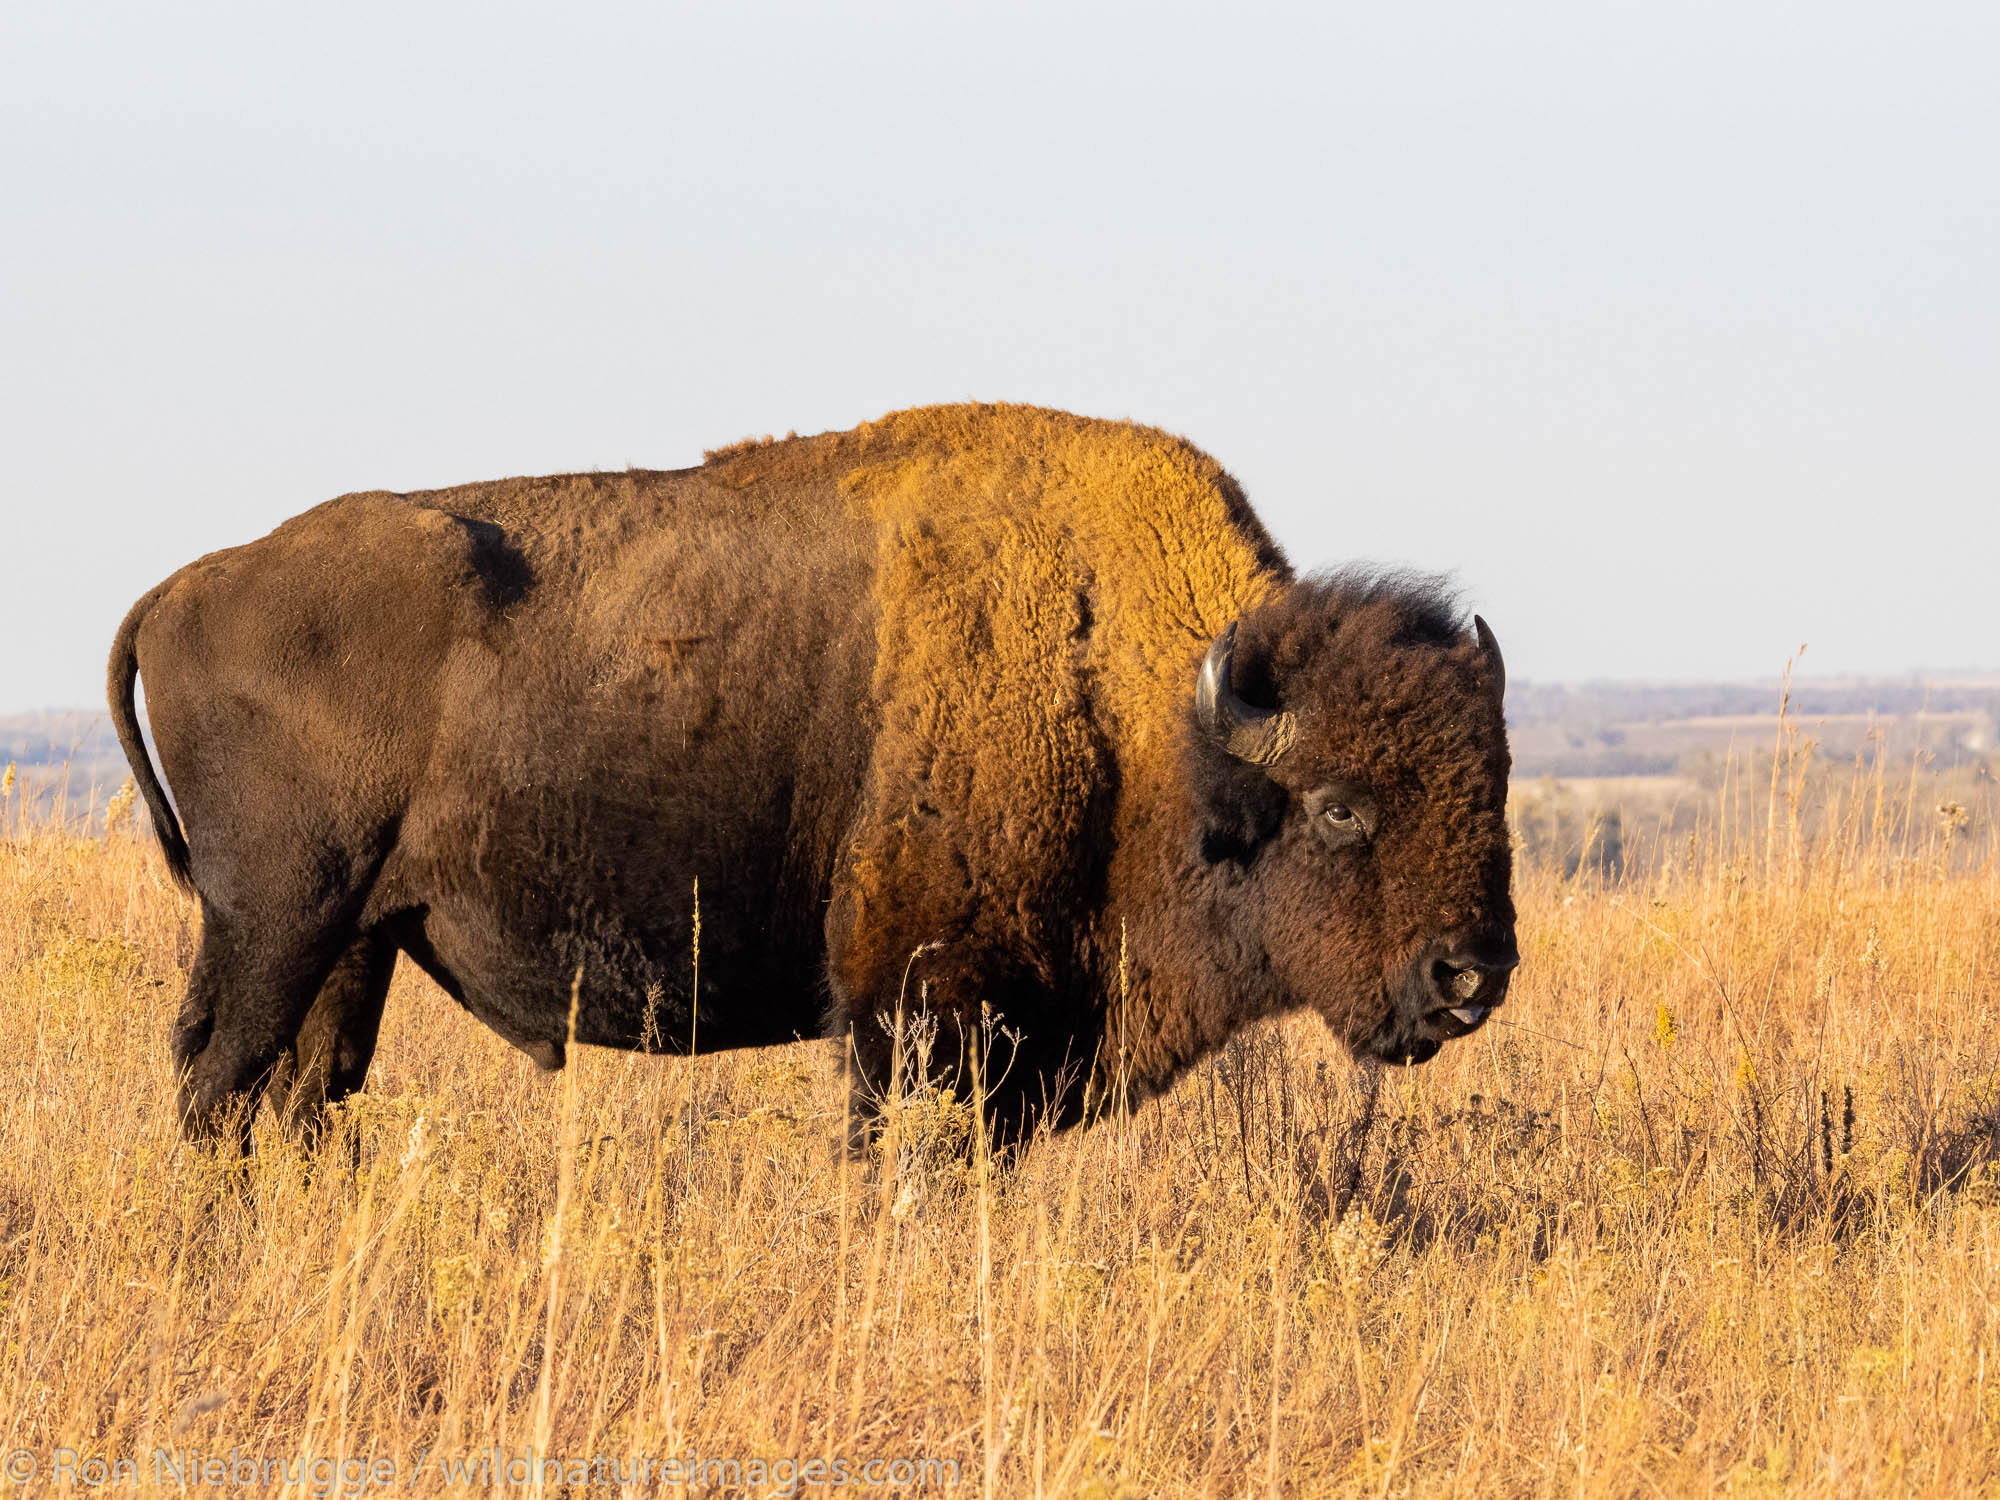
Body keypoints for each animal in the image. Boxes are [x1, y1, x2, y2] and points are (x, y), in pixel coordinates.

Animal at [109, 402, 1512, 1152]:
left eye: (1490, 787)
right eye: (1339, 808)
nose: (1471, 975)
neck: (1146, 714)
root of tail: (188, 584)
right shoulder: (918, 1015)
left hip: (356, 938)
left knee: (299, 1091)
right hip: (275, 921)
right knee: (217, 1076)